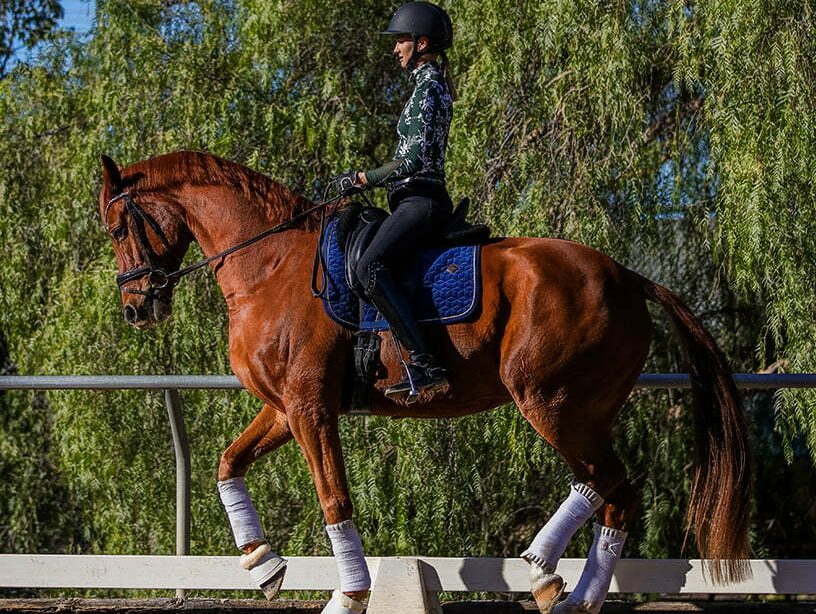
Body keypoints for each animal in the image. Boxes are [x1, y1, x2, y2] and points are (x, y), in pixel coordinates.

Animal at [98, 150, 751, 614]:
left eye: (116, 227)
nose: (134, 308)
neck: (270, 266)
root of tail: (628, 276)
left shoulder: (310, 409)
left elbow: (334, 498)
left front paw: (350, 595)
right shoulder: (285, 409)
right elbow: (227, 464)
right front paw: (264, 564)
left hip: (552, 402)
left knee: (610, 483)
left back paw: (545, 573)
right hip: (582, 410)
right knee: (610, 490)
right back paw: (569, 593)